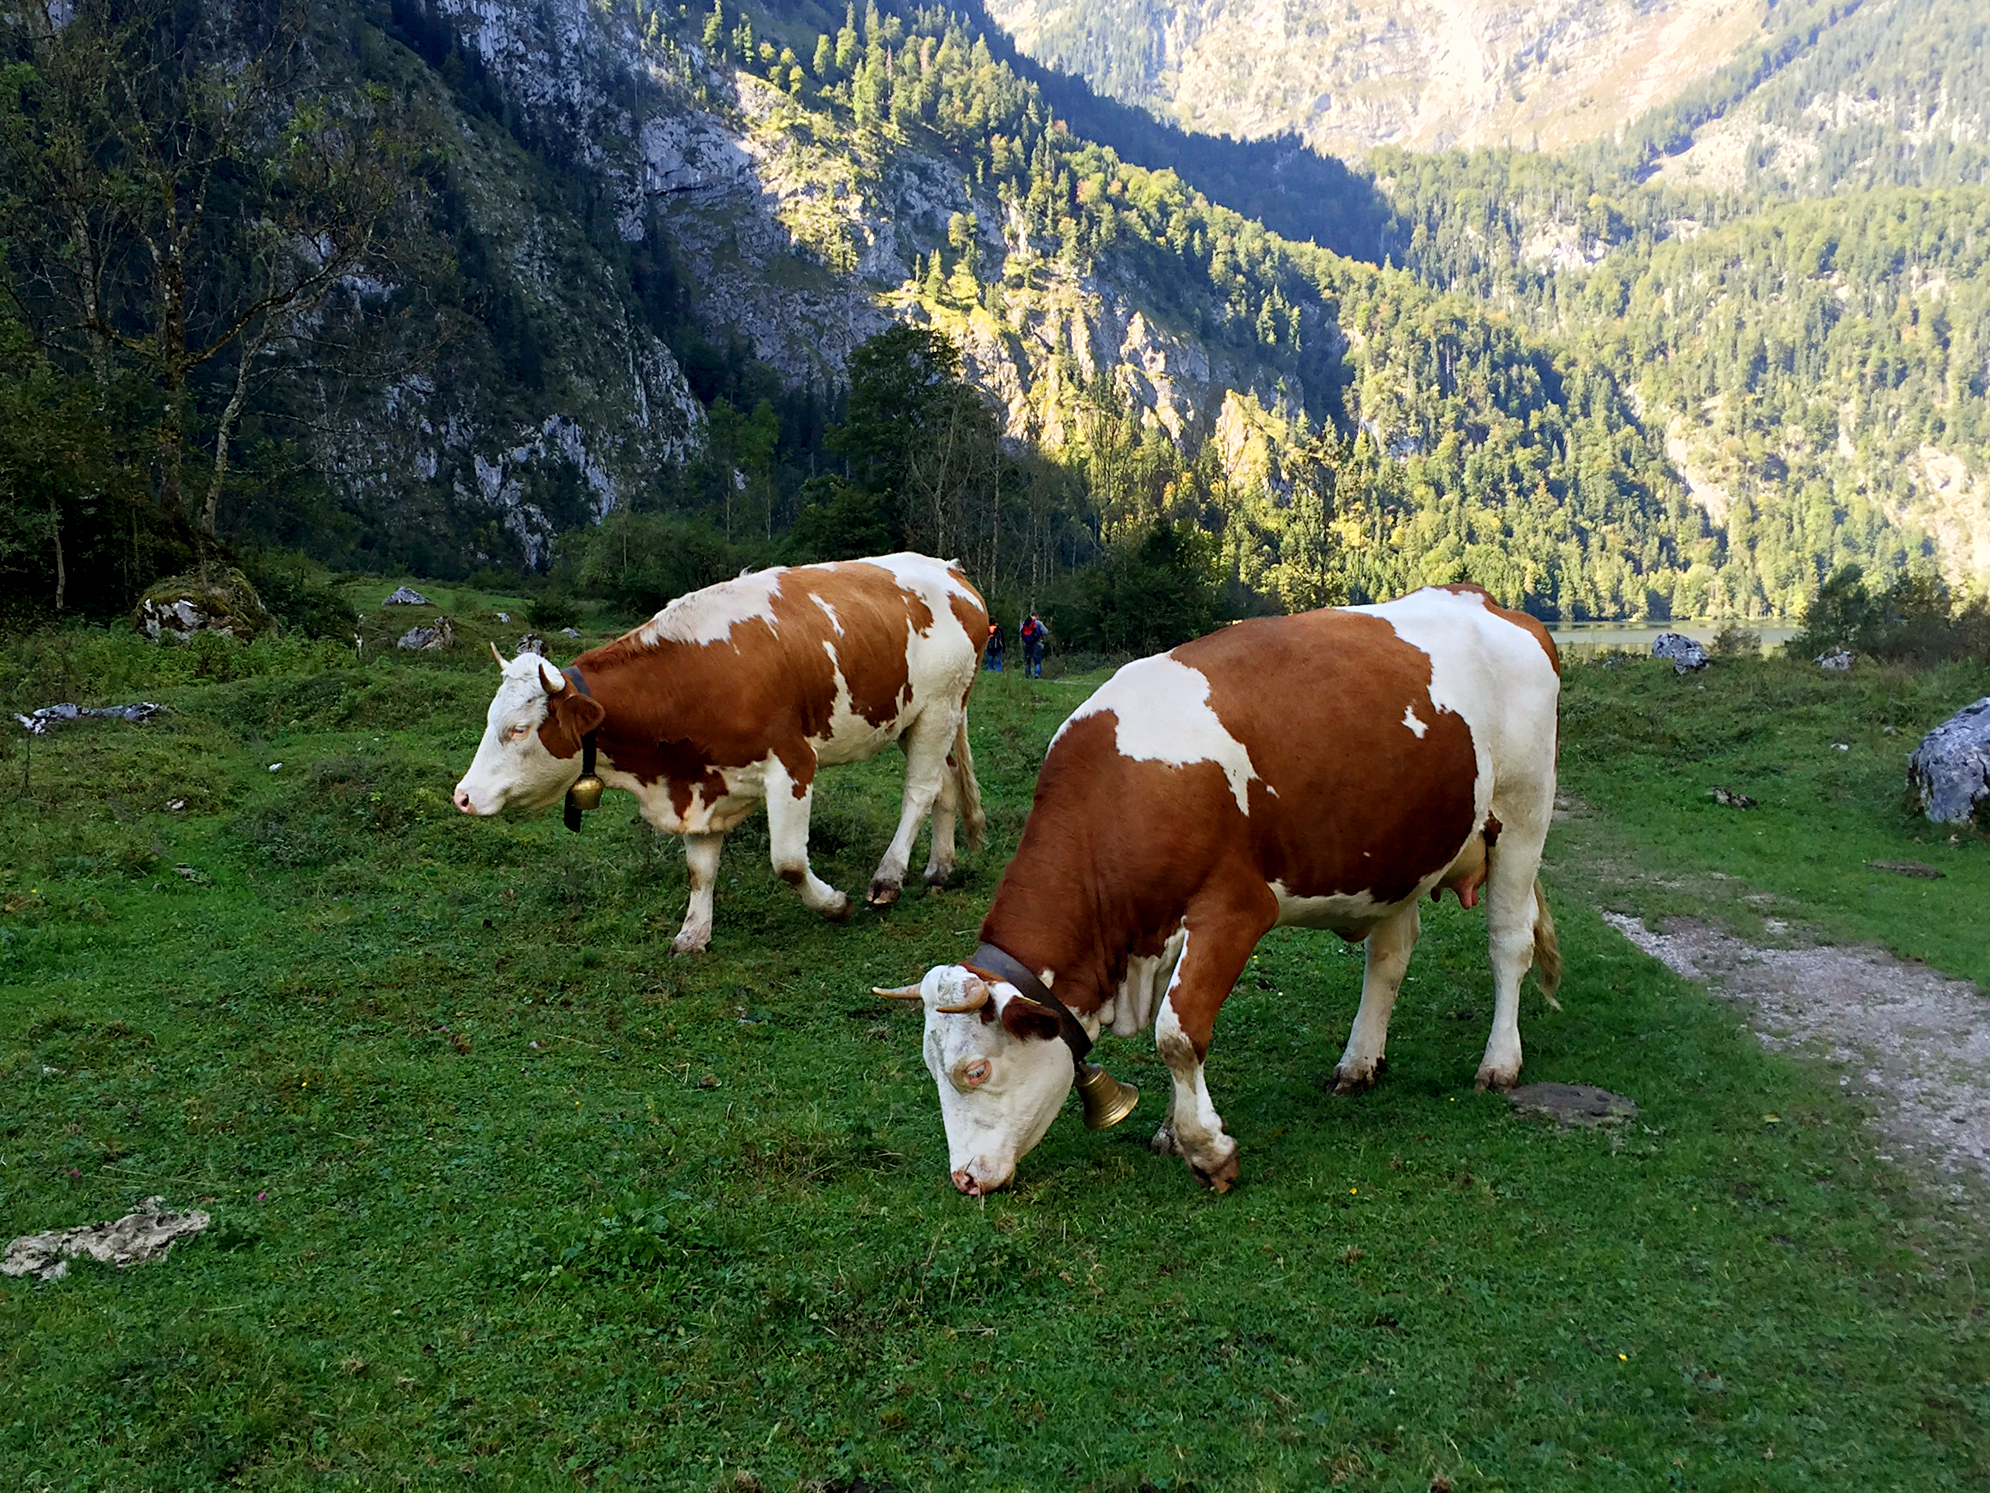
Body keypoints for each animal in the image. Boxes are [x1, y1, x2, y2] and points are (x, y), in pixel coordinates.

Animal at [461, 557, 995, 951]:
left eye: (519, 729)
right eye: (490, 720)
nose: (462, 796)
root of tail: (950, 570)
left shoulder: (793, 764)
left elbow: (788, 862)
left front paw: (834, 905)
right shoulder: (698, 784)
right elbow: (699, 869)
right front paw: (693, 933)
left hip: (939, 706)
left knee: (919, 792)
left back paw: (888, 877)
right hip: (925, 717)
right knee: (946, 787)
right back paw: (940, 868)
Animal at [879, 585, 1560, 1194]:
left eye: (975, 1070)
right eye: (931, 1069)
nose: (964, 1178)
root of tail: (1492, 603)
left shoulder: (1236, 908)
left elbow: (1178, 1034)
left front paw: (1208, 1151)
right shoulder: (1158, 931)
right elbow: (1174, 1020)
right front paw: (1171, 1131)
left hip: (1524, 813)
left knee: (1509, 943)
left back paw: (1499, 1062)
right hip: (1401, 853)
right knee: (1390, 954)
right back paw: (1358, 1062)